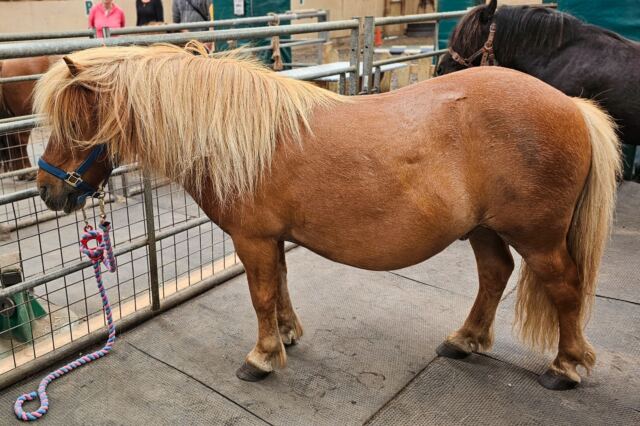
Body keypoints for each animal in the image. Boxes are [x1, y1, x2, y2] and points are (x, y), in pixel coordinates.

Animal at [34, 42, 620, 390]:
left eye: (74, 123)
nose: (45, 191)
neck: (239, 136)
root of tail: (571, 106)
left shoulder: (253, 238)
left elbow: (261, 294)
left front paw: (262, 357)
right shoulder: (272, 238)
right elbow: (279, 286)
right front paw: (287, 336)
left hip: (538, 237)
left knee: (565, 287)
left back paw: (566, 366)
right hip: (482, 229)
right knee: (495, 274)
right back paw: (464, 340)